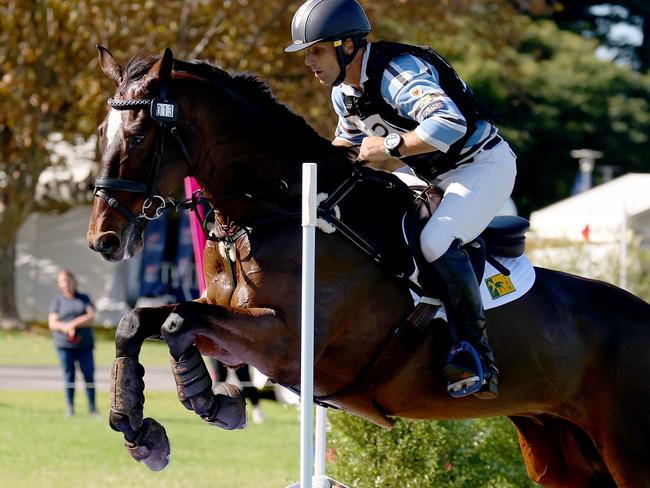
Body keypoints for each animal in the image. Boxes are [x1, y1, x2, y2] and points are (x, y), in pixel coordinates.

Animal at [87, 46, 648, 488]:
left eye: (138, 137)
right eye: (101, 133)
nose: (103, 240)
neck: (272, 209)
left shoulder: (285, 344)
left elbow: (178, 322)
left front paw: (208, 401)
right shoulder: (226, 317)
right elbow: (143, 321)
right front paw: (141, 426)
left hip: (627, 453)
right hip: (563, 452)